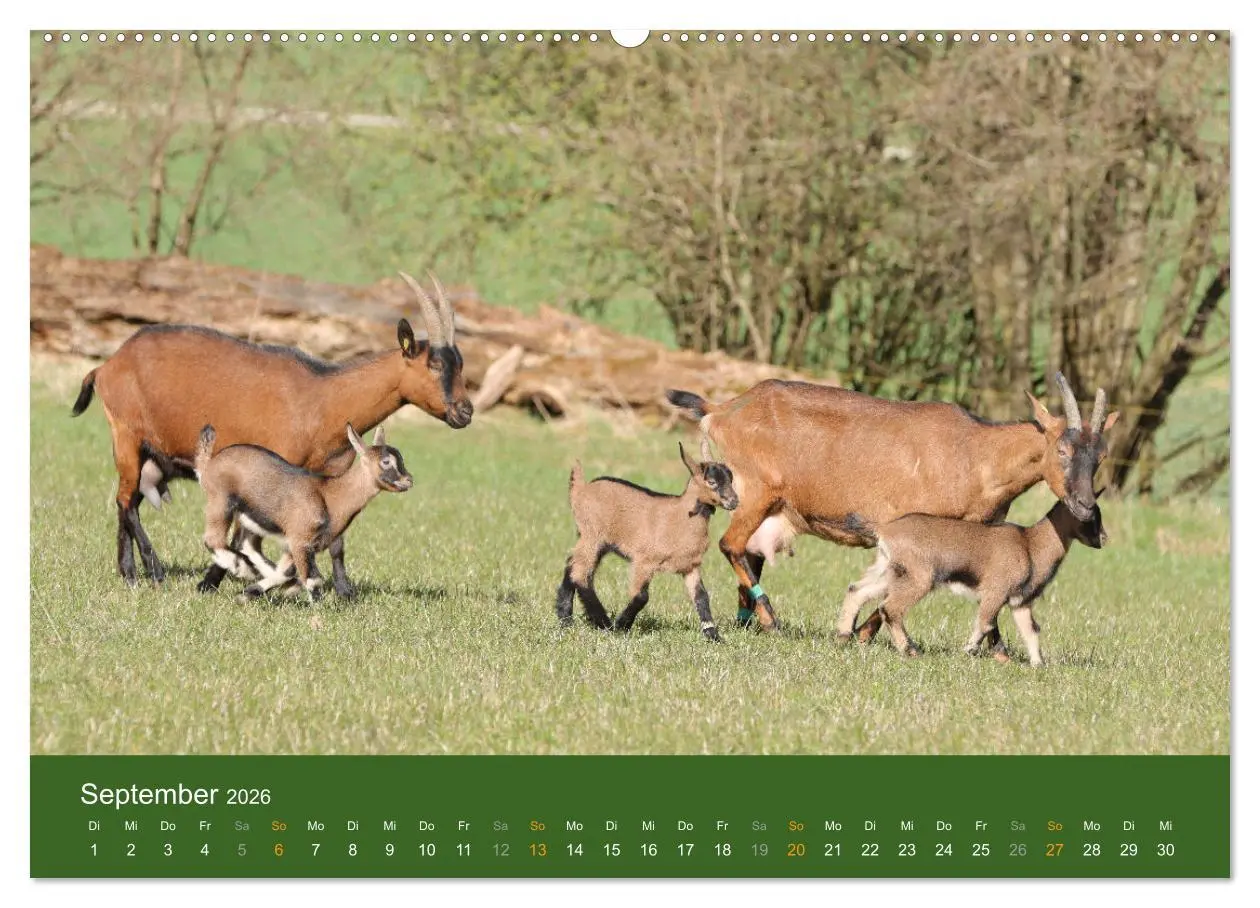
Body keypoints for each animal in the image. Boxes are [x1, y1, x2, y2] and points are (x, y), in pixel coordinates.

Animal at [195, 423, 412, 601]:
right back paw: (242, 568)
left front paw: (249, 593)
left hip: (251, 519)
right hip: (221, 502)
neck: (330, 495)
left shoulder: (299, 544)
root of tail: (209, 463)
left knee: (249, 545)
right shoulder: (300, 539)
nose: (408, 480)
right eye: (386, 461)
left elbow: (287, 572)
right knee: (213, 538)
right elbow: (313, 579)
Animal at [555, 441, 739, 642]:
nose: (734, 501)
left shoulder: (690, 566)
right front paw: (622, 626)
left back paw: (565, 618)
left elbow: (702, 596)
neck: (681, 516)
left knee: (572, 565)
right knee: (580, 573)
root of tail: (581, 490)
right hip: (592, 535)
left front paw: (713, 636)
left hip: (596, 541)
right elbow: (642, 596)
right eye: (712, 482)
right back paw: (603, 622)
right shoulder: (644, 561)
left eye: (730, 479)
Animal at [666, 373, 1118, 633]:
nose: (1084, 504)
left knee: (750, 552)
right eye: (1062, 449)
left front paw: (859, 636)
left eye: (1100, 455)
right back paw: (771, 621)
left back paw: (750, 623)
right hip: (756, 492)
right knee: (731, 545)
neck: (976, 451)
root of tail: (721, 410)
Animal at [838, 499, 1107, 665]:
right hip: (919, 578)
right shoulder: (995, 592)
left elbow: (1030, 630)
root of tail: (885, 530)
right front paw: (967, 652)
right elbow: (985, 623)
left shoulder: (1020, 602)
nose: (1104, 538)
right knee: (890, 608)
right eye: (1090, 517)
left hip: (889, 571)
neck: (1030, 543)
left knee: (857, 590)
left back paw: (842, 636)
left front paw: (1038, 664)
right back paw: (910, 650)